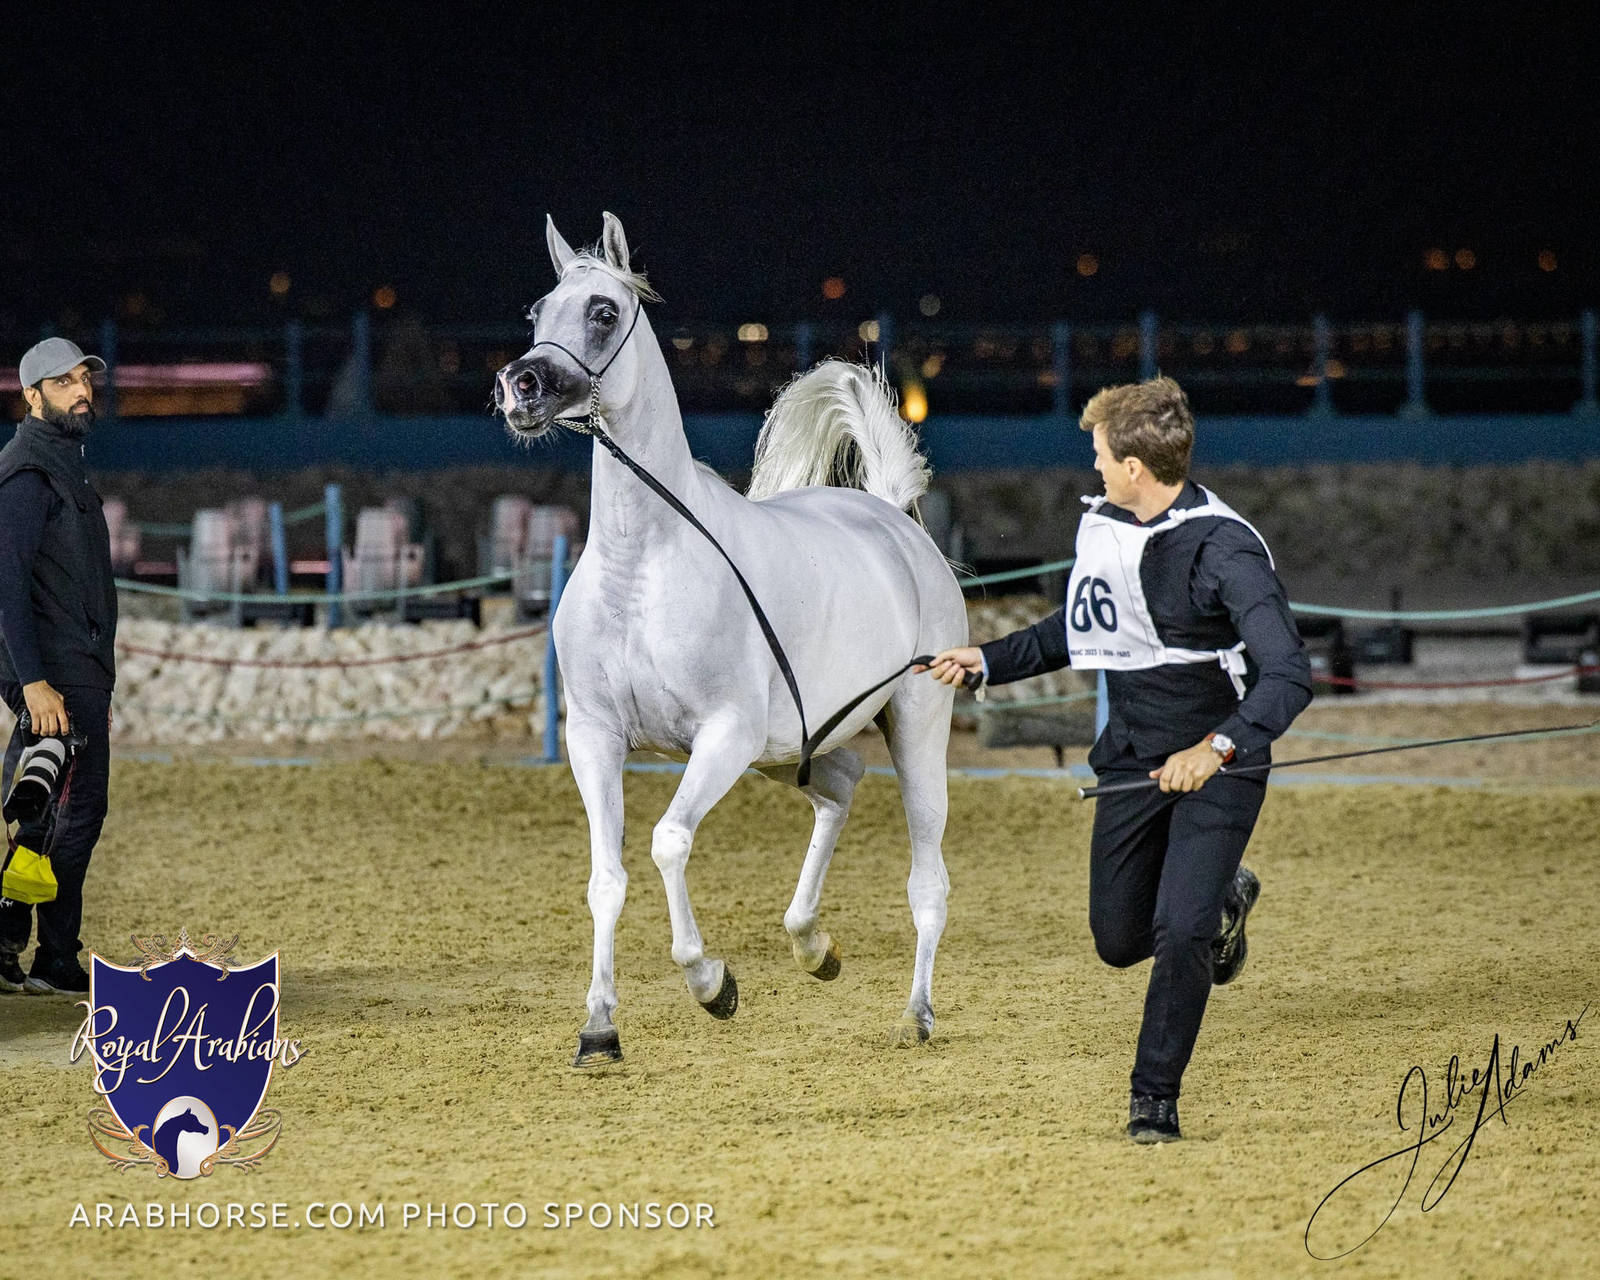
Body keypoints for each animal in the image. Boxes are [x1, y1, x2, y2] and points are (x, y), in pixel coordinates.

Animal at [495, 213, 966, 1067]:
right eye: (538, 310)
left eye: (603, 311)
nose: (522, 387)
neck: (640, 569)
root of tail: (890, 517)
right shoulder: (594, 737)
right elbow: (606, 877)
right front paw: (599, 1029)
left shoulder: (723, 734)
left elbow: (668, 842)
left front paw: (712, 984)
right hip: (789, 750)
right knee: (840, 786)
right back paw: (812, 945)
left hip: (913, 725)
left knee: (928, 880)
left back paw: (915, 1015)